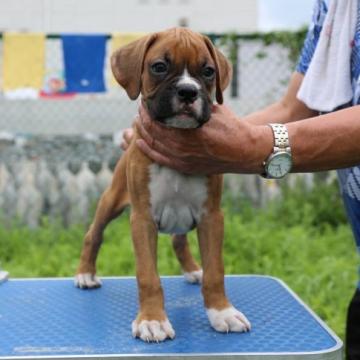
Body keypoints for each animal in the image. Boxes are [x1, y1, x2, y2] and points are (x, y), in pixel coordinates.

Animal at [75, 27, 250, 340]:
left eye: (208, 71)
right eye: (159, 67)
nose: (188, 91)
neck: (177, 139)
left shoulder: (211, 217)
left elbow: (216, 271)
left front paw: (222, 312)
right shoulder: (142, 219)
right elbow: (148, 275)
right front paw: (152, 319)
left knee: (179, 241)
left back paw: (193, 270)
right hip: (111, 200)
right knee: (93, 234)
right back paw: (86, 273)